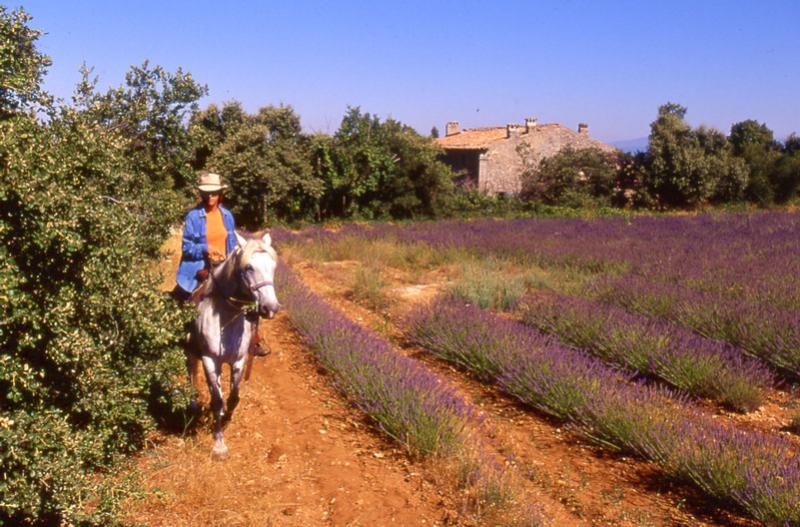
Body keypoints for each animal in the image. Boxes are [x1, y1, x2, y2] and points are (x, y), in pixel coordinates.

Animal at [189, 231, 280, 458]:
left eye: (273, 266)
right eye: (249, 268)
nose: (271, 308)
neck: (226, 317)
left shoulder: (238, 360)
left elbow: (233, 397)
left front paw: (226, 420)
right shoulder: (210, 360)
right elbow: (217, 399)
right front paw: (219, 444)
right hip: (192, 354)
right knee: (191, 374)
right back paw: (192, 404)